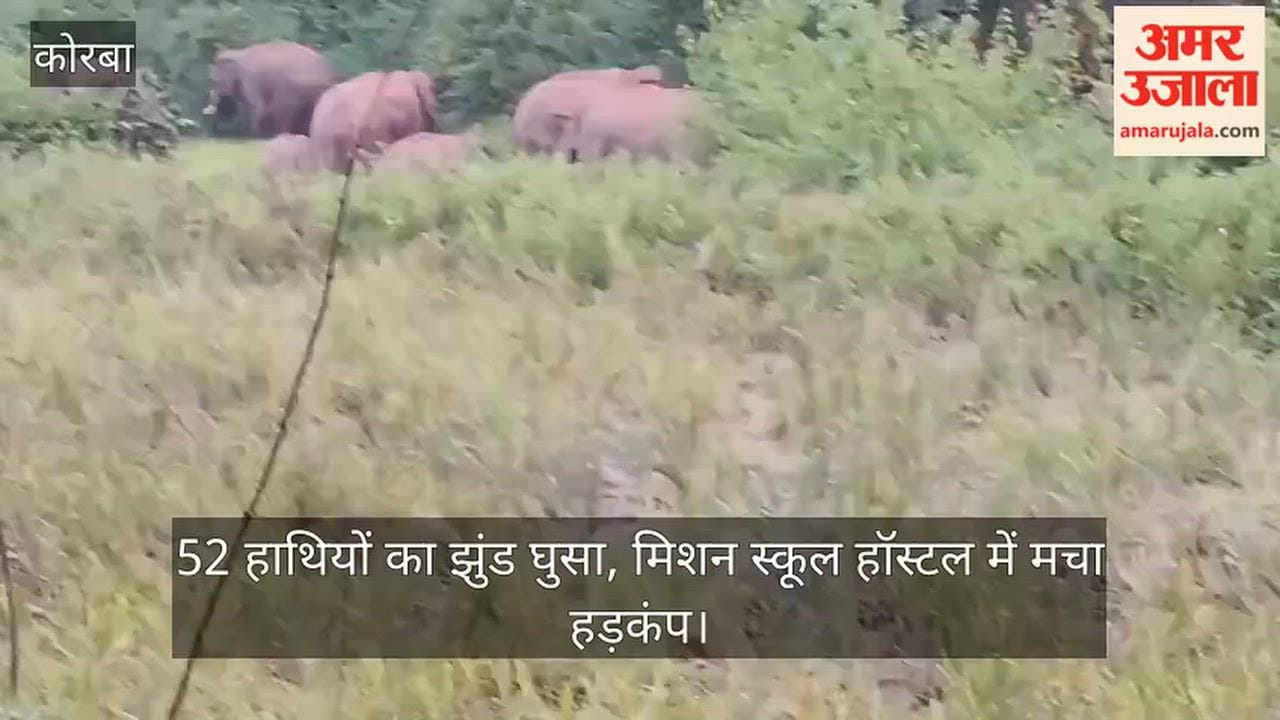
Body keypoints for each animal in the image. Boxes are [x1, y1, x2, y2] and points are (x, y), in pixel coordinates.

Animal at [202, 41, 336, 138]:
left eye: (216, 80)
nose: (207, 111)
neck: (238, 52)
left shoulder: (249, 77)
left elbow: (256, 105)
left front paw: (254, 136)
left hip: (295, 85)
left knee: (283, 109)